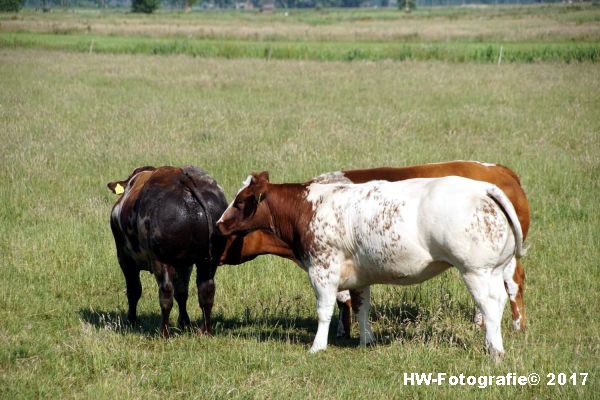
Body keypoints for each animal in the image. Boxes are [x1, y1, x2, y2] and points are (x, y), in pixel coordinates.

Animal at [108, 164, 227, 336]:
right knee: (206, 291)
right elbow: (182, 292)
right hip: (208, 260)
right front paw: (184, 323)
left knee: (166, 293)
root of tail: (182, 178)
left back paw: (163, 333)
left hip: (161, 260)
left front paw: (131, 321)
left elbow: (133, 290)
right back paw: (205, 330)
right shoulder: (185, 264)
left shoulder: (125, 258)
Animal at [218, 173, 524, 360]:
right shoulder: (359, 276)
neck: (308, 207)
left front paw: (318, 346)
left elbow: (324, 312)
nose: (220, 223)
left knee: (490, 305)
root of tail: (482, 187)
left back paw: (495, 350)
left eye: (241, 201)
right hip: (494, 269)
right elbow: (362, 308)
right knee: (500, 301)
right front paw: (366, 341)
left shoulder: (322, 270)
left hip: (476, 271)